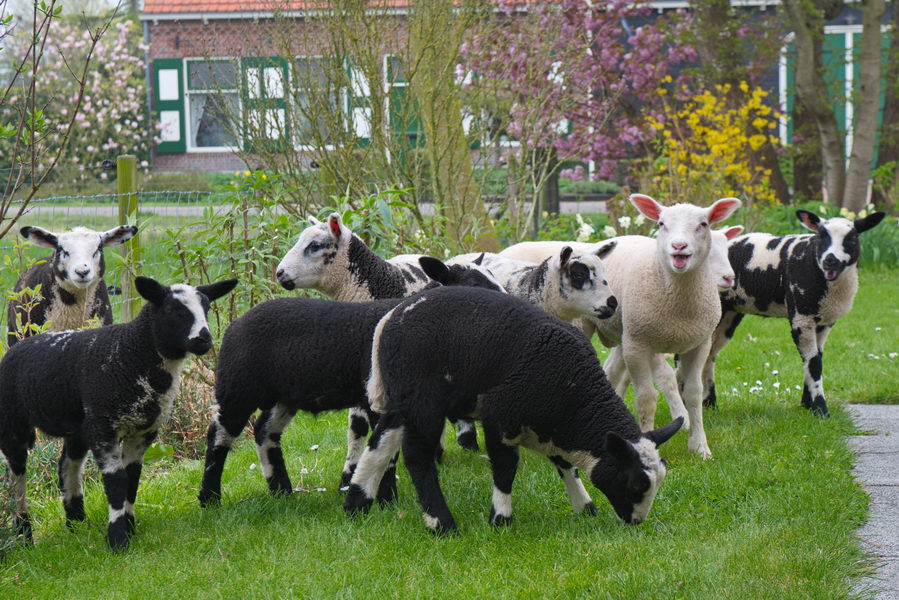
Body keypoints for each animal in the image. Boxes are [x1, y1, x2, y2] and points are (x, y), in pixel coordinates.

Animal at [0, 276, 237, 550]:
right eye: (173, 310)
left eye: (207, 307)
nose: (204, 340)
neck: (131, 353)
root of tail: (18, 344)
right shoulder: (105, 428)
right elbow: (116, 481)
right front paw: (118, 539)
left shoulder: (142, 431)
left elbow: (132, 478)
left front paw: (130, 526)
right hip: (13, 424)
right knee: (16, 477)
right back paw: (23, 535)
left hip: (80, 426)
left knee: (68, 465)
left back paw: (77, 524)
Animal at [198, 258, 506, 508]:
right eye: (473, 285)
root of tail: (235, 324)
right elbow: (386, 452)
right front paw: (386, 500)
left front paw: (384, 498)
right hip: (238, 386)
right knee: (219, 435)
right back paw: (210, 498)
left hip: (286, 393)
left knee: (265, 430)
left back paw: (282, 491)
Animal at [342, 286, 683, 534]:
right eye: (636, 484)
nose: (636, 522)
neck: (575, 398)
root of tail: (390, 319)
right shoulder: (499, 416)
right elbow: (506, 468)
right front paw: (501, 519)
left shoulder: (551, 425)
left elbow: (564, 464)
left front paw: (584, 507)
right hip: (423, 400)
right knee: (417, 457)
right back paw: (441, 523)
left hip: (403, 398)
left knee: (380, 444)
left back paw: (357, 503)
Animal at [502, 195, 741, 459]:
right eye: (661, 224)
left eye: (703, 224)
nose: (679, 246)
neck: (679, 304)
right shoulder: (639, 342)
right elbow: (647, 397)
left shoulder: (698, 344)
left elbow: (693, 394)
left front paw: (699, 446)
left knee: (611, 371)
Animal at [702, 209, 886, 416]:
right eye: (821, 236)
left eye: (852, 239)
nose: (830, 260)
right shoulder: (801, 317)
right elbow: (814, 363)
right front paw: (821, 409)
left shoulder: (824, 321)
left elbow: (814, 359)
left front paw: (808, 405)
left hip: (729, 313)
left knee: (710, 355)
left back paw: (709, 403)